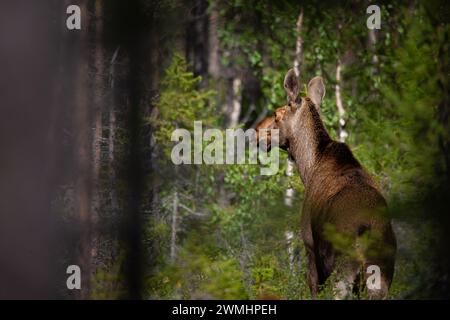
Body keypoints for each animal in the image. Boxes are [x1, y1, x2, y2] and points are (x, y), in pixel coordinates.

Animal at [256, 69, 398, 298]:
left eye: (277, 115)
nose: (256, 131)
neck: (308, 168)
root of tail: (368, 230)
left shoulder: (310, 248)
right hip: (381, 277)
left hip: (342, 271)